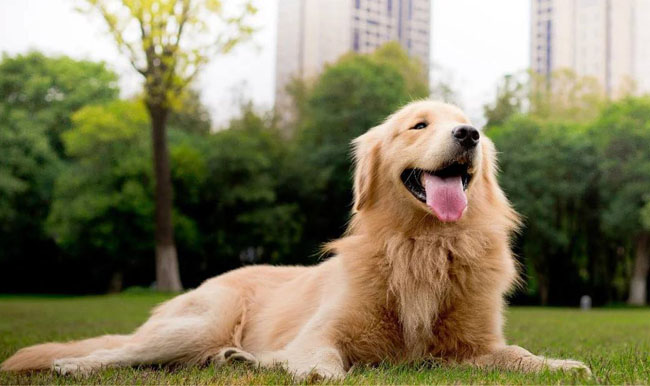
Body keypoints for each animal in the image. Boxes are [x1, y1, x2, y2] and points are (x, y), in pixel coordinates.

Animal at [1, 101, 588, 378]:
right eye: (418, 125)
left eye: (467, 124)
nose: (470, 136)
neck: (421, 245)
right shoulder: (323, 332)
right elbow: (321, 354)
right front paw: (319, 373)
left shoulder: (472, 347)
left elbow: (518, 354)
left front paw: (560, 366)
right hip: (202, 320)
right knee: (120, 352)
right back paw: (73, 365)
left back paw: (237, 360)